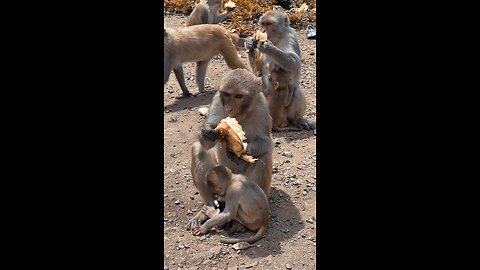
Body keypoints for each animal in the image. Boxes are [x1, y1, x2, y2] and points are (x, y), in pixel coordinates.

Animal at [186, 68, 272, 231]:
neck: (241, 113)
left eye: (238, 96)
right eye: (227, 94)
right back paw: (208, 208)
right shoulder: (217, 102)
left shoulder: (263, 106)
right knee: (199, 149)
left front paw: (242, 152)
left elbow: (266, 142)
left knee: (262, 158)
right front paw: (206, 131)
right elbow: (205, 143)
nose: (229, 108)